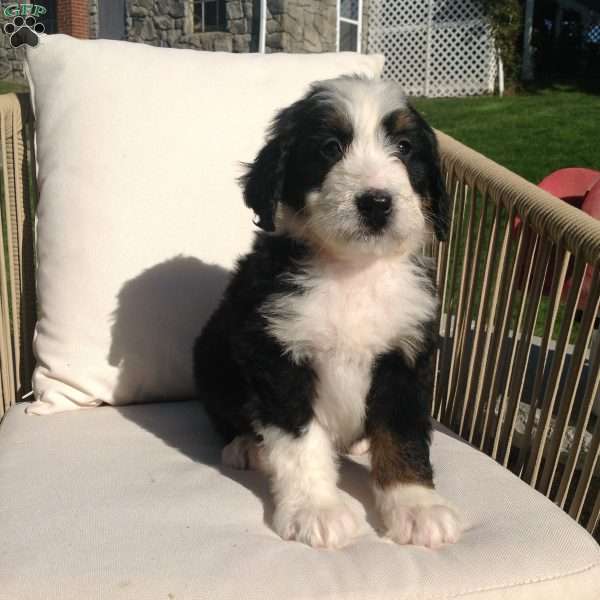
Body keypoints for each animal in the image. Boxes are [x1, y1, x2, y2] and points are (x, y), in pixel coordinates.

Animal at [195, 77, 462, 552]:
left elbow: (404, 435)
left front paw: (417, 507)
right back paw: (246, 447)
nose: (376, 202)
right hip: (211, 354)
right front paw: (316, 510)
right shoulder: (276, 355)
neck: (352, 271)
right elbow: (301, 442)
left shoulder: (404, 356)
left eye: (405, 147)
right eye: (330, 147)